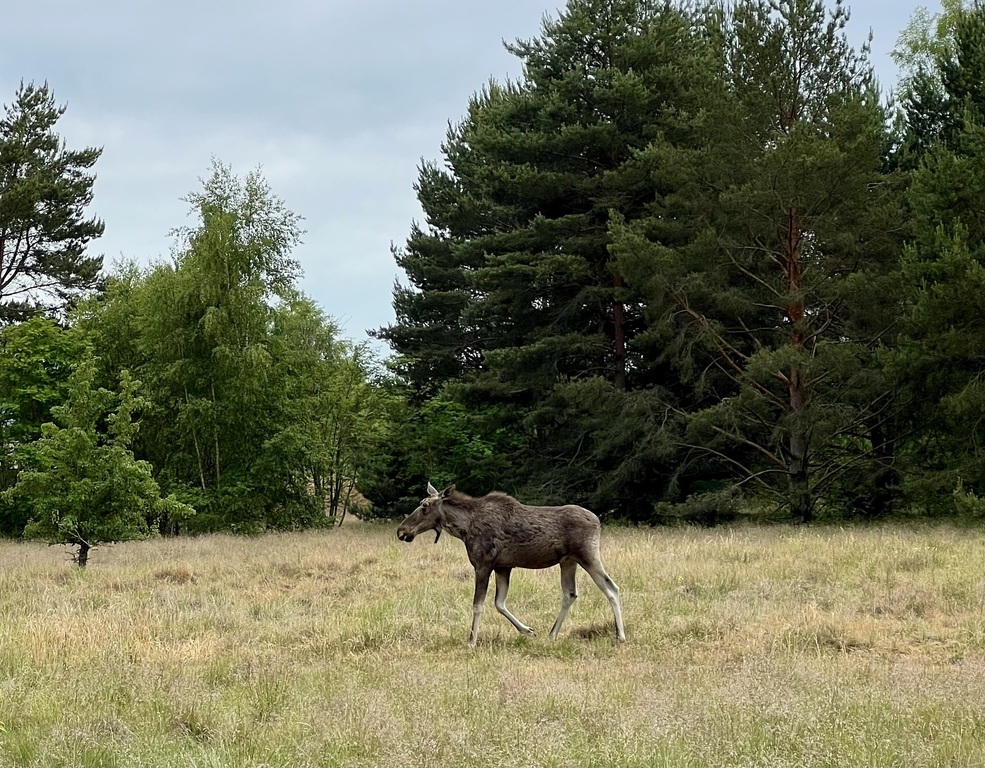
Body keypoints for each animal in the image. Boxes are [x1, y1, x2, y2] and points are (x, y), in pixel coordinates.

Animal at [398, 484, 624, 644]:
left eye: (424, 506)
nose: (401, 530)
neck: (463, 528)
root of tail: (598, 521)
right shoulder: (503, 567)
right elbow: (500, 603)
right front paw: (527, 630)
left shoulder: (483, 565)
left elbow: (478, 605)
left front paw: (472, 640)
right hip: (568, 561)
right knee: (570, 594)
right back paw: (552, 634)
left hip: (588, 555)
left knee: (612, 588)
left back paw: (620, 635)